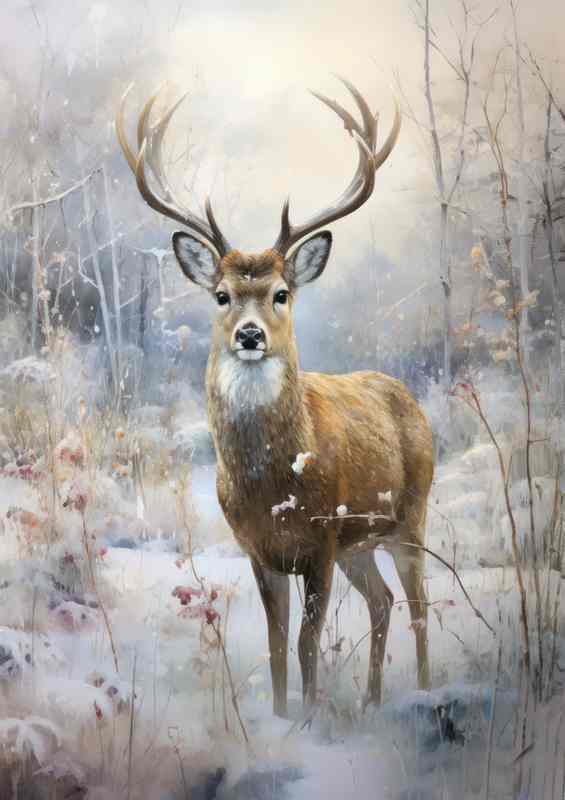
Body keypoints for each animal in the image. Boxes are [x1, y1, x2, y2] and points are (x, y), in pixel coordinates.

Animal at [117, 78, 434, 718]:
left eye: (281, 292)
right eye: (221, 295)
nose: (249, 334)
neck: (274, 488)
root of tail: (408, 397)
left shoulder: (320, 542)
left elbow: (309, 643)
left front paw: (309, 717)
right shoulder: (262, 550)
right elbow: (277, 646)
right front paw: (285, 714)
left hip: (408, 517)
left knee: (417, 605)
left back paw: (423, 690)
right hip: (361, 543)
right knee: (382, 601)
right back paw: (371, 700)